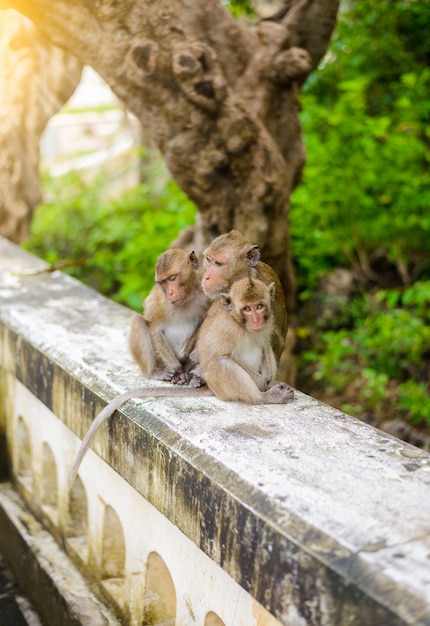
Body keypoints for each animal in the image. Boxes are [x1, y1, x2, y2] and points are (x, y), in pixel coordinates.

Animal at [69, 276, 294, 488]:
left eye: (259, 306)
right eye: (247, 308)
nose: (256, 320)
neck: (241, 324)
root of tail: (212, 388)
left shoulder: (267, 324)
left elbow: (264, 344)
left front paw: (267, 378)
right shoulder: (229, 330)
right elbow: (217, 356)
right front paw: (263, 384)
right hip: (220, 384)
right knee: (223, 364)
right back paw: (264, 397)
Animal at [130, 246, 209, 382]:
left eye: (172, 278)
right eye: (162, 282)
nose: (170, 293)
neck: (188, 297)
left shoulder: (205, 293)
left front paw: (186, 354)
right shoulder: (160, 302)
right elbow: (154, 329)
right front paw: (177, 367)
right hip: (158, 360)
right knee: (138, 321)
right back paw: (153, 373)